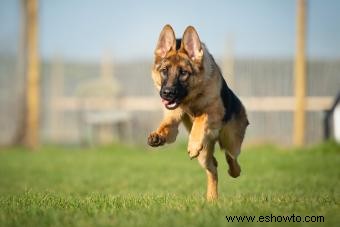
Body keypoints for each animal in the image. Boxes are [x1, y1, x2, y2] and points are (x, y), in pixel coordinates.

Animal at [147, 24, 248, 201]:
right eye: (164, 70)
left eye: (183, 73)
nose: (167, 93)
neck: (191, 99)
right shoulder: (172, 121)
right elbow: (166, 126)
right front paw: (157, 135)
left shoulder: (214, 111)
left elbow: (201, 117)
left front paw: (193, 144)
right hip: (204, 156)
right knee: (213, 167)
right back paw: (212, 198)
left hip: (231, 140)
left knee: (232, 158)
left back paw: (232, 170)